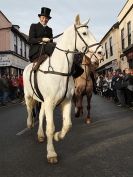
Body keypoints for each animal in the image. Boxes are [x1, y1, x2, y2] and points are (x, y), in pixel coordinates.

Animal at [23, 14, 95, 164]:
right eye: (84, 33)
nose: (101, 50)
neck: (60, 69)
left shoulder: (66, 101)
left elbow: (67, 125)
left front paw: (57, 136)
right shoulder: (50, 102)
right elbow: (50, 128)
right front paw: (51, 153)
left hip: (43, 100)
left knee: (41, 115)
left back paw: (40, 134)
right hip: (28, 95)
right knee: (29, 109)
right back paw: (30, 123)